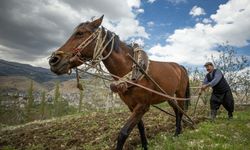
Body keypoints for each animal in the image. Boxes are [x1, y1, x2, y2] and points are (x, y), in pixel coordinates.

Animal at [48, 15, 189, 149]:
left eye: (80, 33)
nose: (53, 60)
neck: (133, 69)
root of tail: (180, 66)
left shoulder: (143, 105)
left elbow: (123, 133)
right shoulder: (131, 106)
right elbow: (140, 128)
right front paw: (144, 145)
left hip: (180, 93)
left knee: (181, 111)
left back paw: (177, 133)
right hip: (168, 95)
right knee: (177, 110)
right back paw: (178, 131)